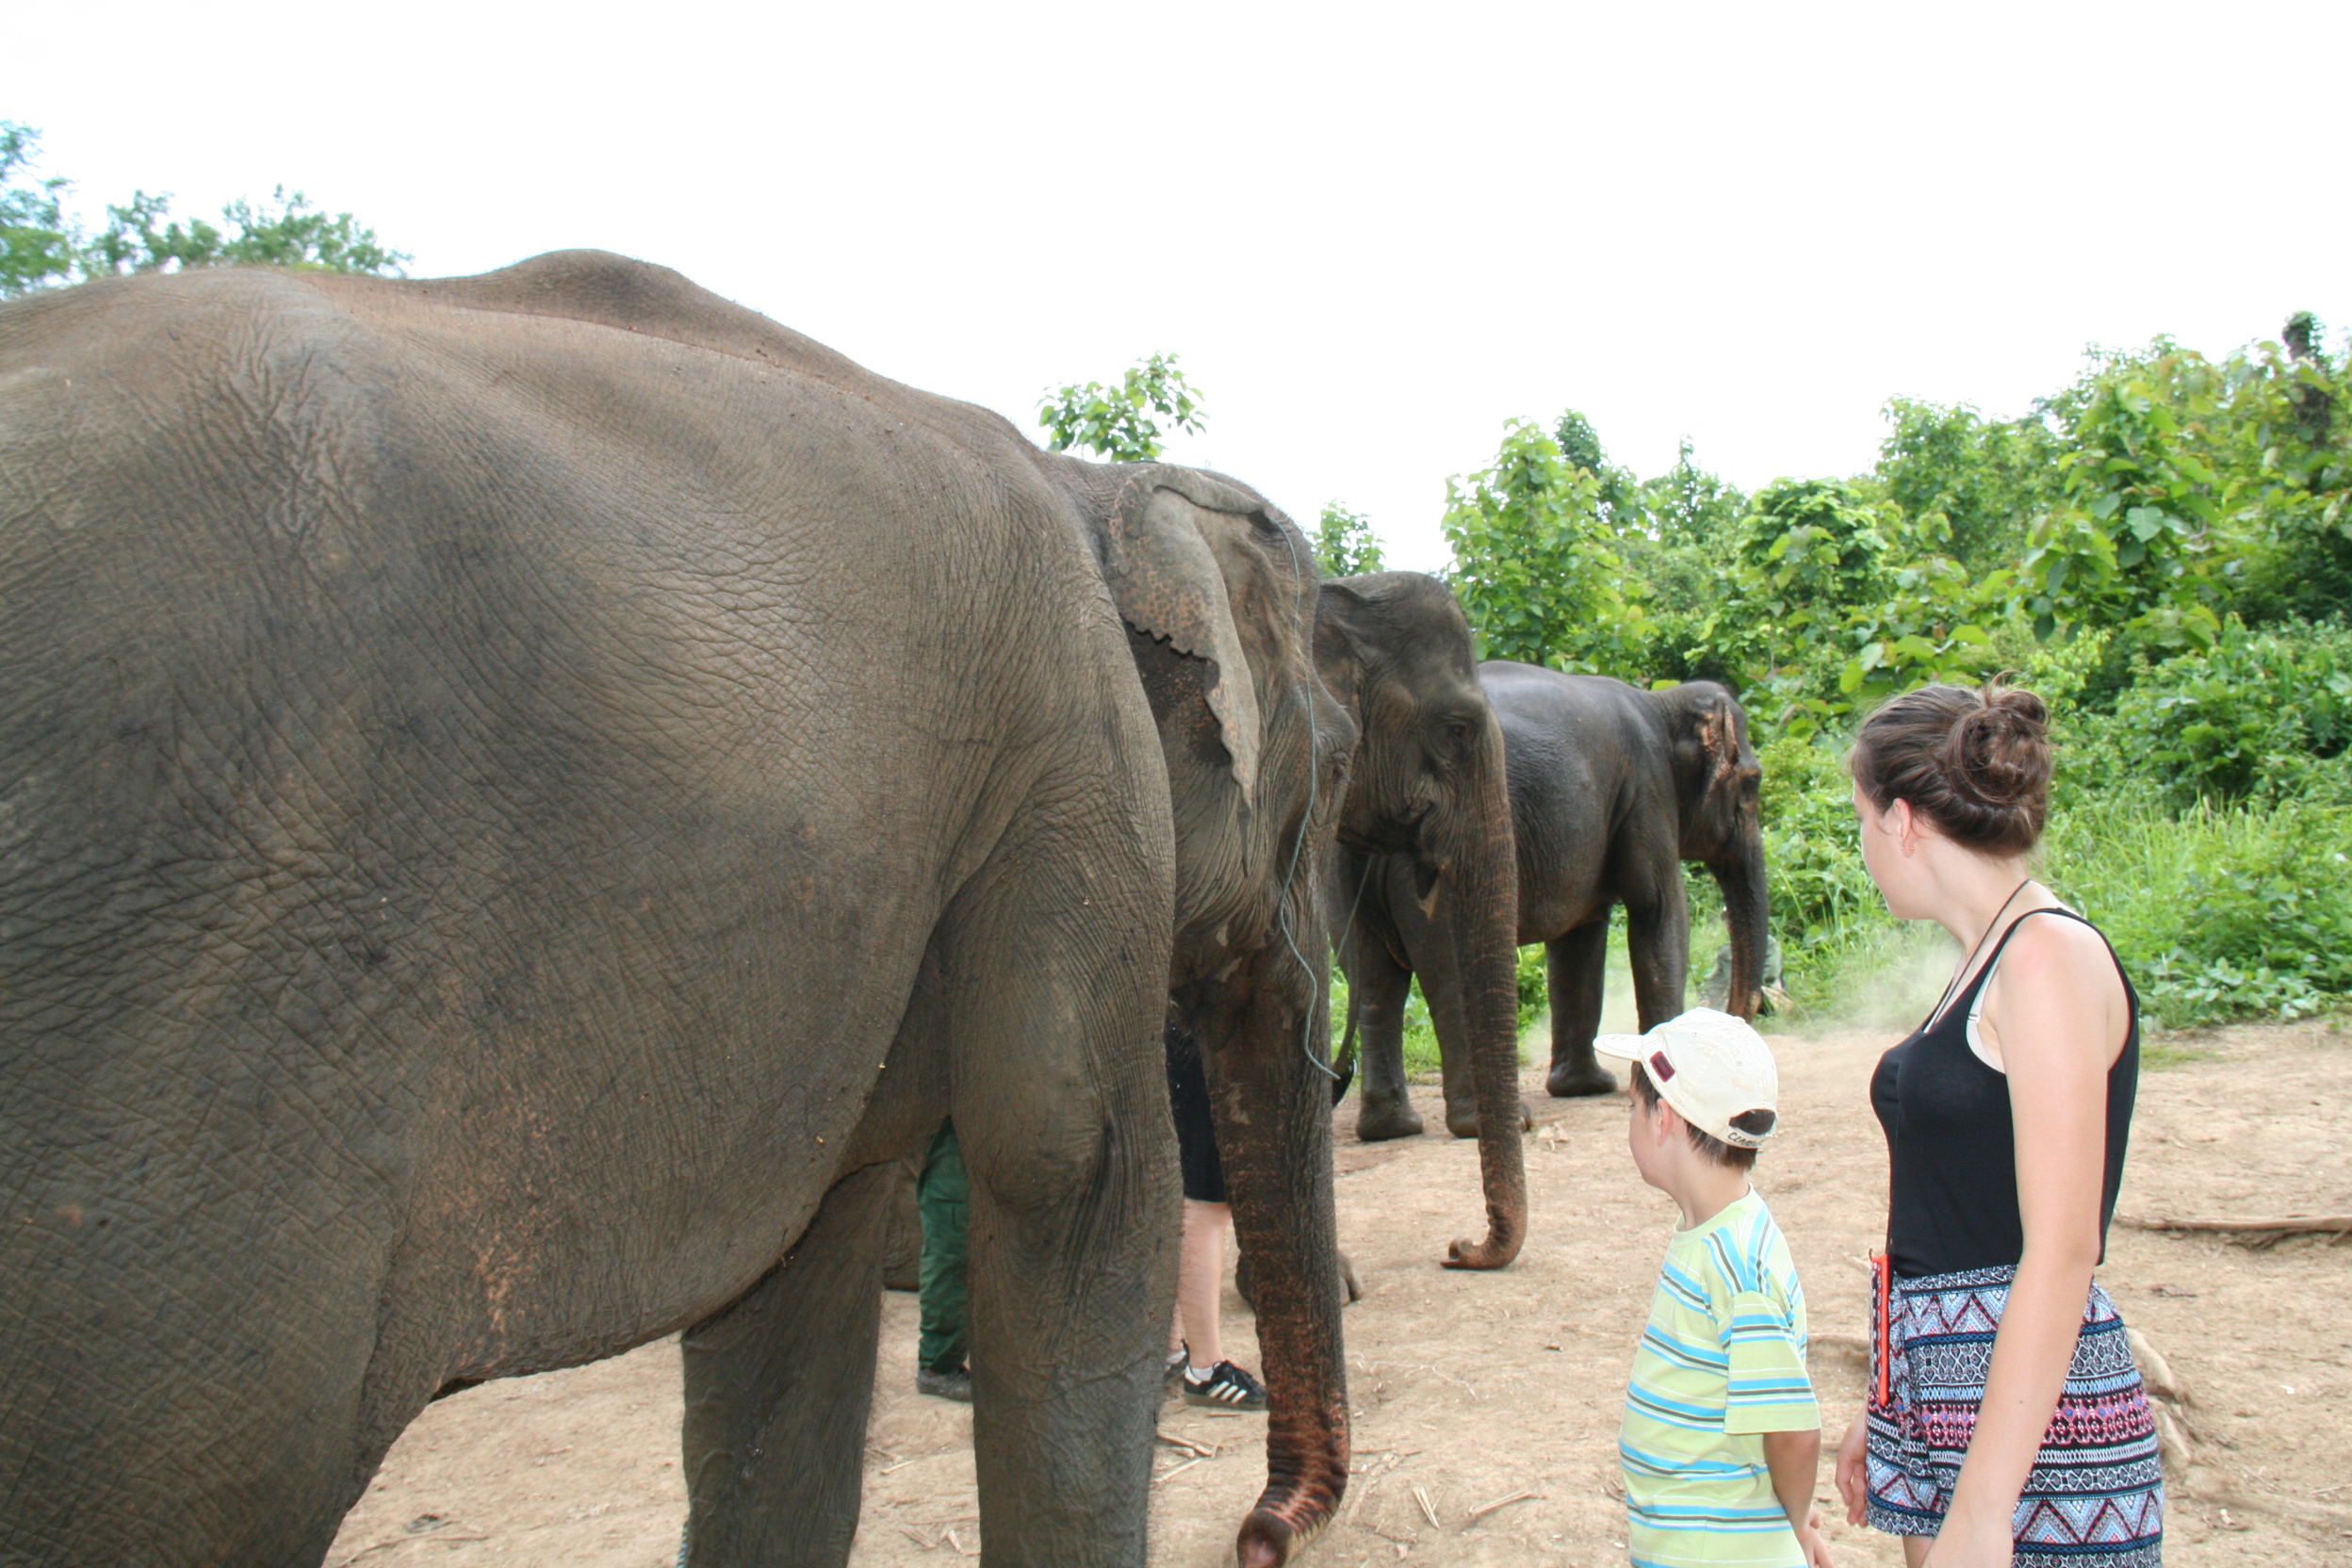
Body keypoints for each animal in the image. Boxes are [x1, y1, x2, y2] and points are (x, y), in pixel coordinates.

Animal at [0, 252, 1355, 1568]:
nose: (1254, 1536)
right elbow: (1075, 1172)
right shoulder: (1070, 754)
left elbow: (795, 1293)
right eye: (1340, 763)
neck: (1094, 486)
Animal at [1344, 663, 1766, 1138]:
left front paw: (1585, 1088)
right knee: (1451, 973)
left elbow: (1580, 936)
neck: (1662, 702)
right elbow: (1658, 909)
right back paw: (1496, 1123)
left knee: (1376, 981)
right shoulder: (1647, 788)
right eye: (1752, 784)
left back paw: (1391, 1128)